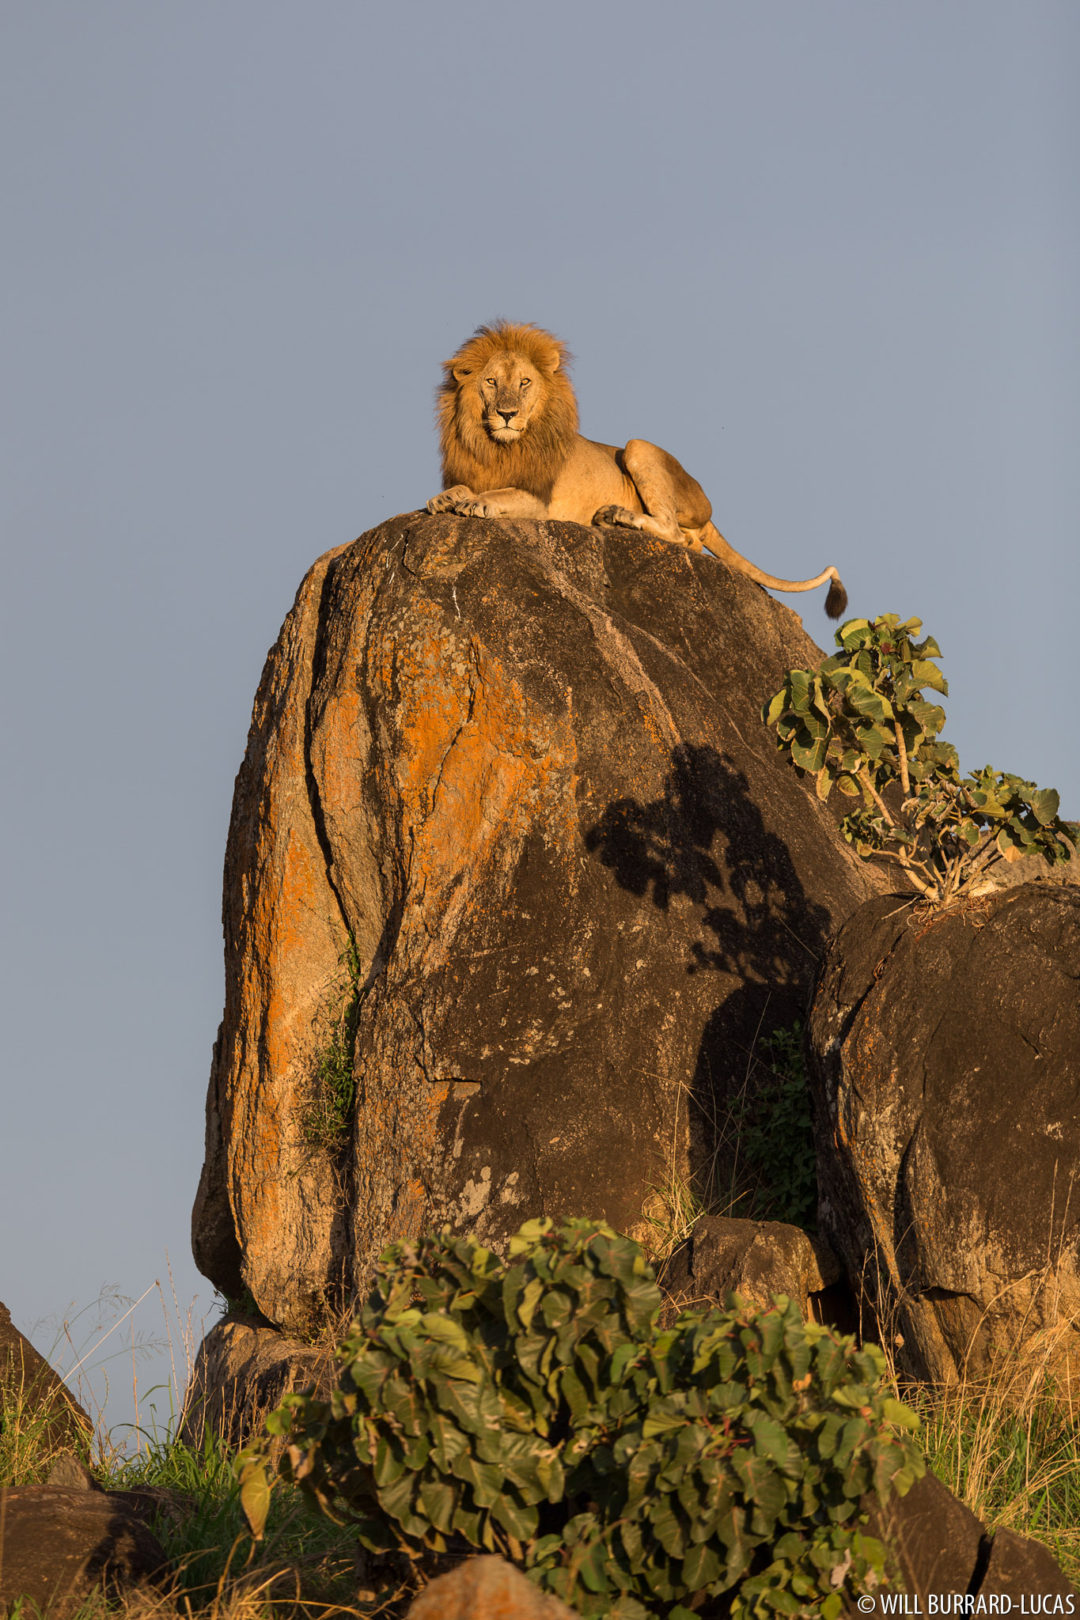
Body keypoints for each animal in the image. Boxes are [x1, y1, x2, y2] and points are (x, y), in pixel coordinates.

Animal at [427, 319, 848, 615]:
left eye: (525, 382)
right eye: (491, 382)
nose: (507, 414)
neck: (498, 447)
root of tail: (707, 510)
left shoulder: (541, 501)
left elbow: (502, 493)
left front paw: (477, 503)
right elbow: (459, 489)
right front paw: (444, 500)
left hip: (638, 448)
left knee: (676, 533)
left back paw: (618, 516)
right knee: (688, 540)